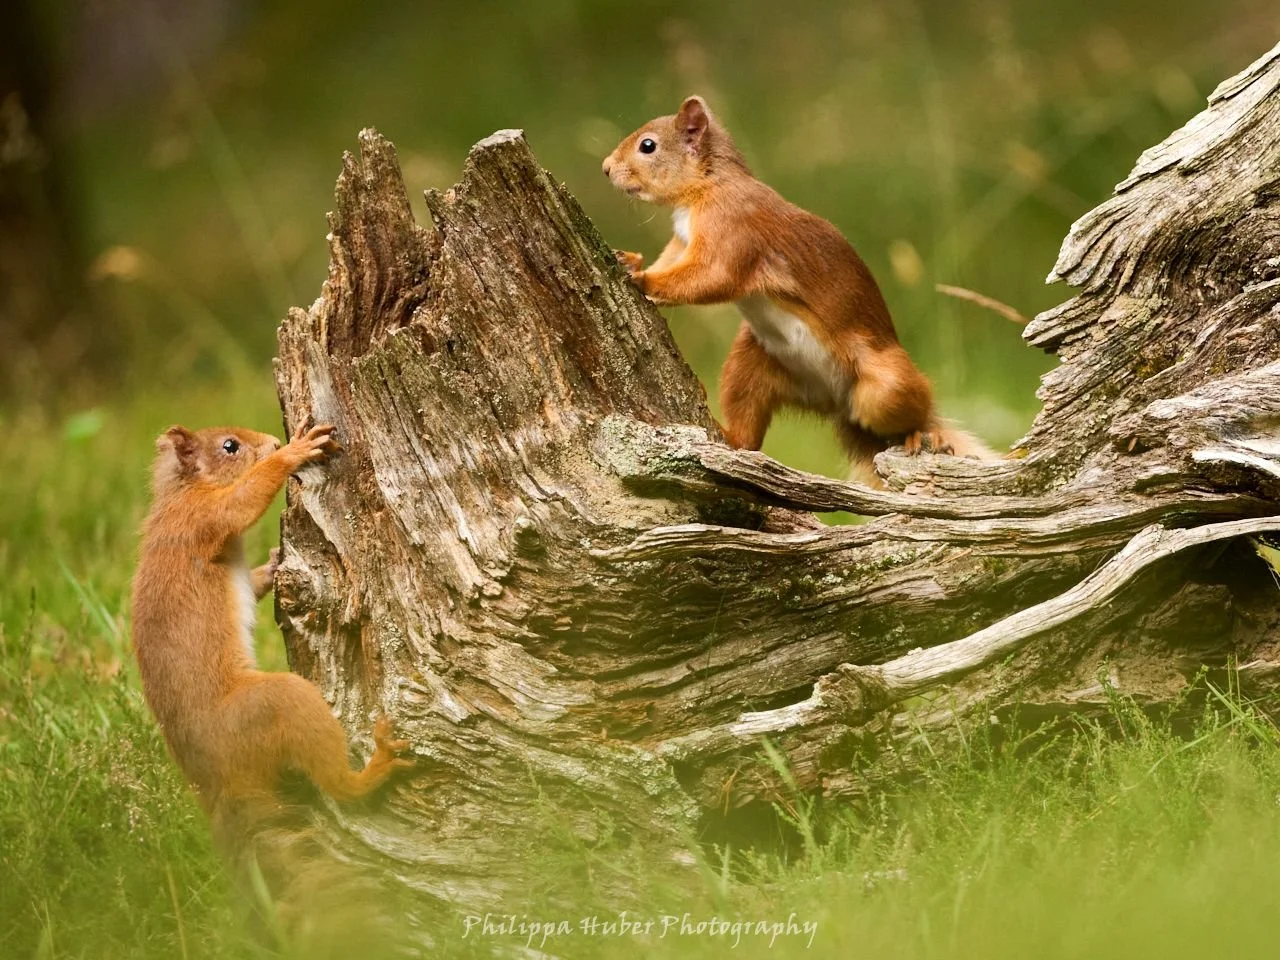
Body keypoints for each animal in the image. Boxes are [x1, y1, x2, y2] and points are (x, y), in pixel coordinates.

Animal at [130, 421, 412, 843]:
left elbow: (254, 581)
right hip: (272, 706)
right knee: (337, 782)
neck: (182, 491)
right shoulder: (202, 519)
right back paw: (375, 767)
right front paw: (295, 452)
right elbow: (244, 501)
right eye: (229, 446)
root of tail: (218, 780)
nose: (275, 442)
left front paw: (277, 560)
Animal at [603, 95, 996, 485]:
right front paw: (632, 262)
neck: (707, 186)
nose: (606, 168)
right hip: (750, 365)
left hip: (884, 386)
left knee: (914, 410)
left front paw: (645, 281)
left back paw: (923, 434)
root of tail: (833, 400)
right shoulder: (683, 242)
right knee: (748, 434)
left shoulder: (733, 228)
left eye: (648, 146)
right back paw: (727, 434)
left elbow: (712, 278)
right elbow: (673, 262)